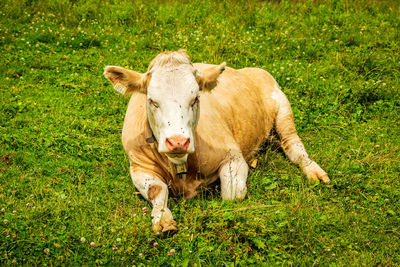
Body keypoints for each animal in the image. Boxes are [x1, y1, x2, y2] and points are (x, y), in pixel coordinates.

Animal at [104, 50, 332, 234]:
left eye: (196, 98)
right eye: (152, 100)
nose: (178, 142)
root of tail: (253, 70)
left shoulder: (233, 157)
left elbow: (232, 195)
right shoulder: (138, 166)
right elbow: (157, 191)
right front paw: (163, 221)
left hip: (284, 110)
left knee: (294, 147)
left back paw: (314, 172)